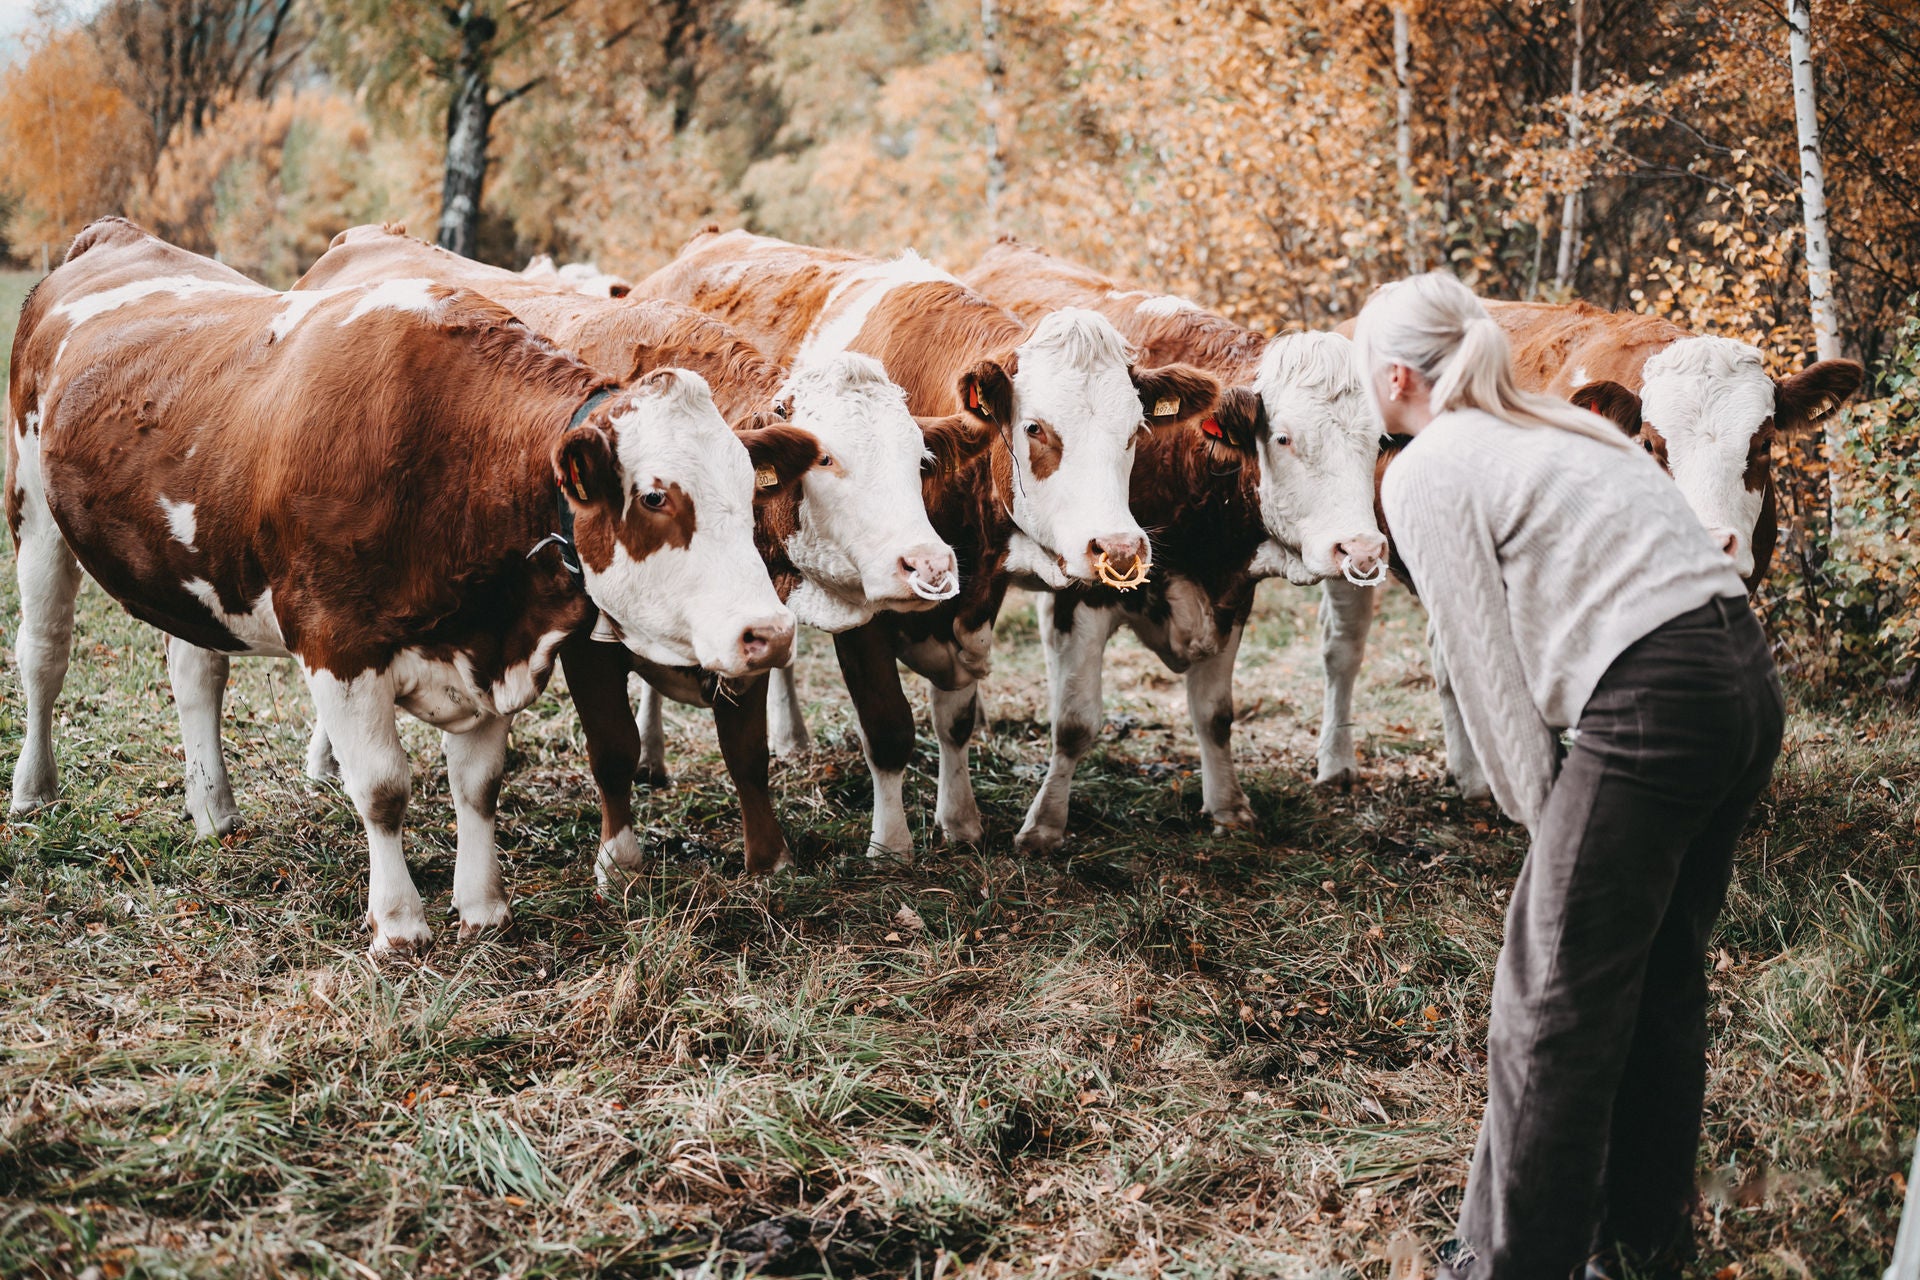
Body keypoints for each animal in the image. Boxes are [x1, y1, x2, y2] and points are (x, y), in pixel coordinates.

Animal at [6, 218, 814, 956]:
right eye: (653, 497)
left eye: (749, 491)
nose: (769, 633)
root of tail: (114, 233)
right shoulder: (337, 642)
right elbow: (383, 788)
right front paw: (398, 924)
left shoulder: (487, 644)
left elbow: (478, 784)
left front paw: (483, 908)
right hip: (35, 514)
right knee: (43, 655)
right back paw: (34, 790)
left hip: (197, 567)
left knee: (195, 671)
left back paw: (213, 809)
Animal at [294, 224, 982, 879]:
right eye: (826, 459)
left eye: (920, 460)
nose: (929, 565)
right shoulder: (579, 634)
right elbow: (612, 746)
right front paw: (618, 859)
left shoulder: (745, 622)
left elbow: (745, 750)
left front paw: (768, 860)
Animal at [637, 228, 1220, 854]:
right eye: (1035, 428)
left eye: (1136, 430)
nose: (1118, 549)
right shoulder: (864, 609)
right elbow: (888, 726)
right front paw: (891, 846)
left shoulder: (975, 594)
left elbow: (954, 720)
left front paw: (959, 820)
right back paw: (650, 757)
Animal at [963, 238, 1387, 850]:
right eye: (1284, 438)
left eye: (1379, 441)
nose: (1361, 550)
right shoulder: (1085, 594)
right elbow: (1075, 724)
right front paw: (1045, 824)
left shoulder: (1230, 593)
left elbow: (1215, 715)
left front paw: (1228, 807)